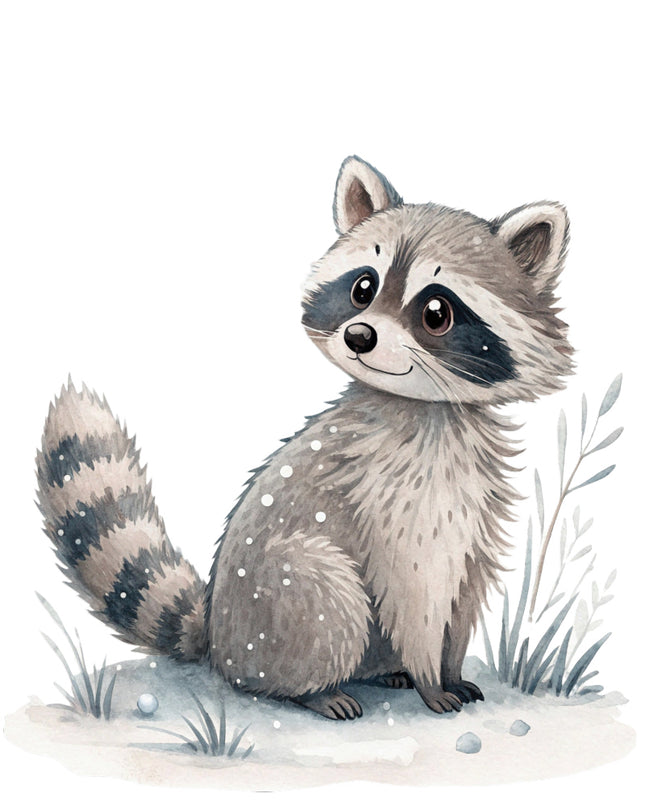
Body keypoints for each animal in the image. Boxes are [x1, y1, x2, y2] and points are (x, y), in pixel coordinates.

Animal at [36, 156, 573, 720]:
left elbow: (464, 590)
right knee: (329, 595)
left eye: (436, 312)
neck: (429, 408)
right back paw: (317, 690)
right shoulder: (396, 507)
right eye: (363, 288)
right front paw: (431, 678)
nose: (360, 336)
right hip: (279, 604)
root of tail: (215, 636)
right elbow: (415, 595)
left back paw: (386, 673)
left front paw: (449, 667)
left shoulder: (471, 512)